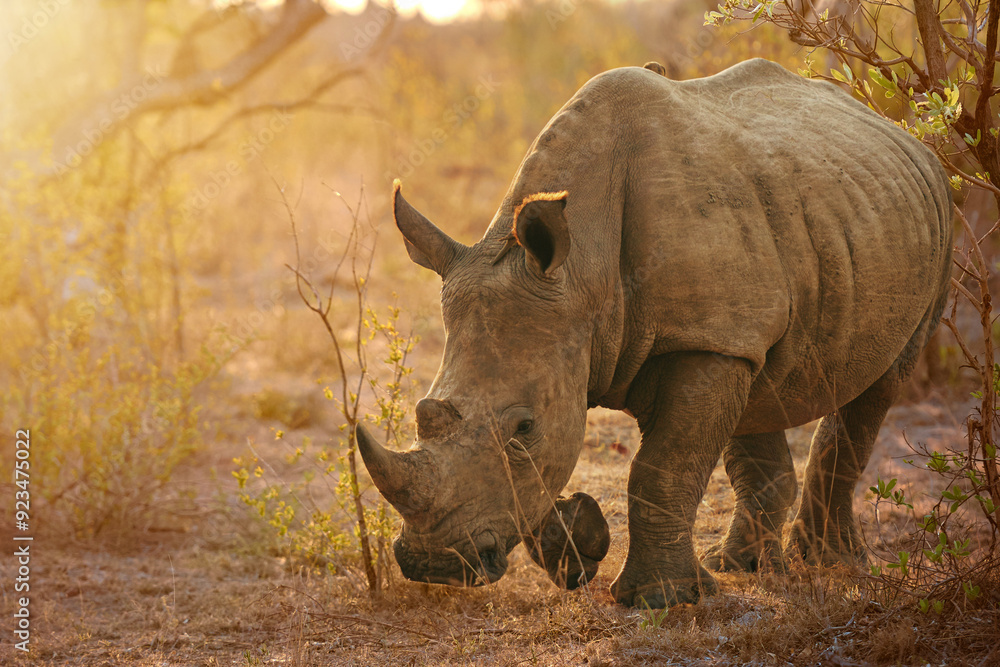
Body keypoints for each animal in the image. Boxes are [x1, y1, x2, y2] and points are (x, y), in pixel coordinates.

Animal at [355, 58, 953, 607]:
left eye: (524, 428)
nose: (433, 566)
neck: (582, 273)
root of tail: (909, 137)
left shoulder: (701, 338)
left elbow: (660, 469)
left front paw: (657, 599)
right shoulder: (646, 331)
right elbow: (557, 471)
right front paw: (579, 543)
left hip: (934, 220)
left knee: (881, 382)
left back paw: (830, 563)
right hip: (807, 230)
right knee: (762, 383)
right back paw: (743, 566)